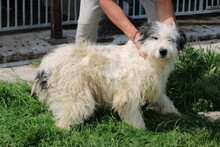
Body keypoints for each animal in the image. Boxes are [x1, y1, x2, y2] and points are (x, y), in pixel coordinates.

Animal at [32, 21, 180, 129]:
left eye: (171, 40)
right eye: (155, 37)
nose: (163, 51)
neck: (147, 57)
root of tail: (47, 64)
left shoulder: (154, 86)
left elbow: (163, 99)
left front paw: (173, 111)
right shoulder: (128, 92)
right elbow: (130, 109)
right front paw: (139, 129)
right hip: (75, 93)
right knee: (70, 112)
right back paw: (64, 128)